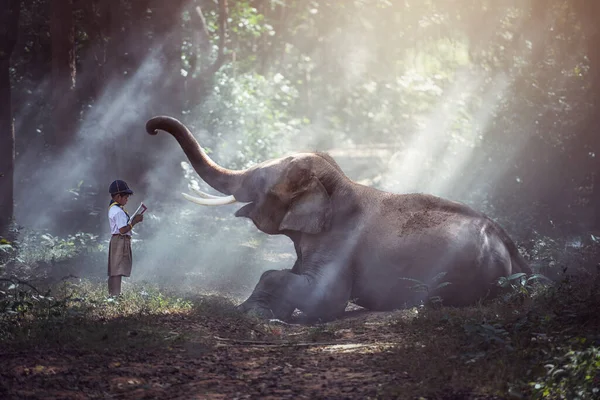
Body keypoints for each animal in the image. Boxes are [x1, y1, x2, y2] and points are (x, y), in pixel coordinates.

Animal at [148, 115, 532, 318]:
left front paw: (254, 314)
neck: (340, 184)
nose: (151, 128)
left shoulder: (341, 243)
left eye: (260, 180)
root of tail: (514, 251)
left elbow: (323, 296)